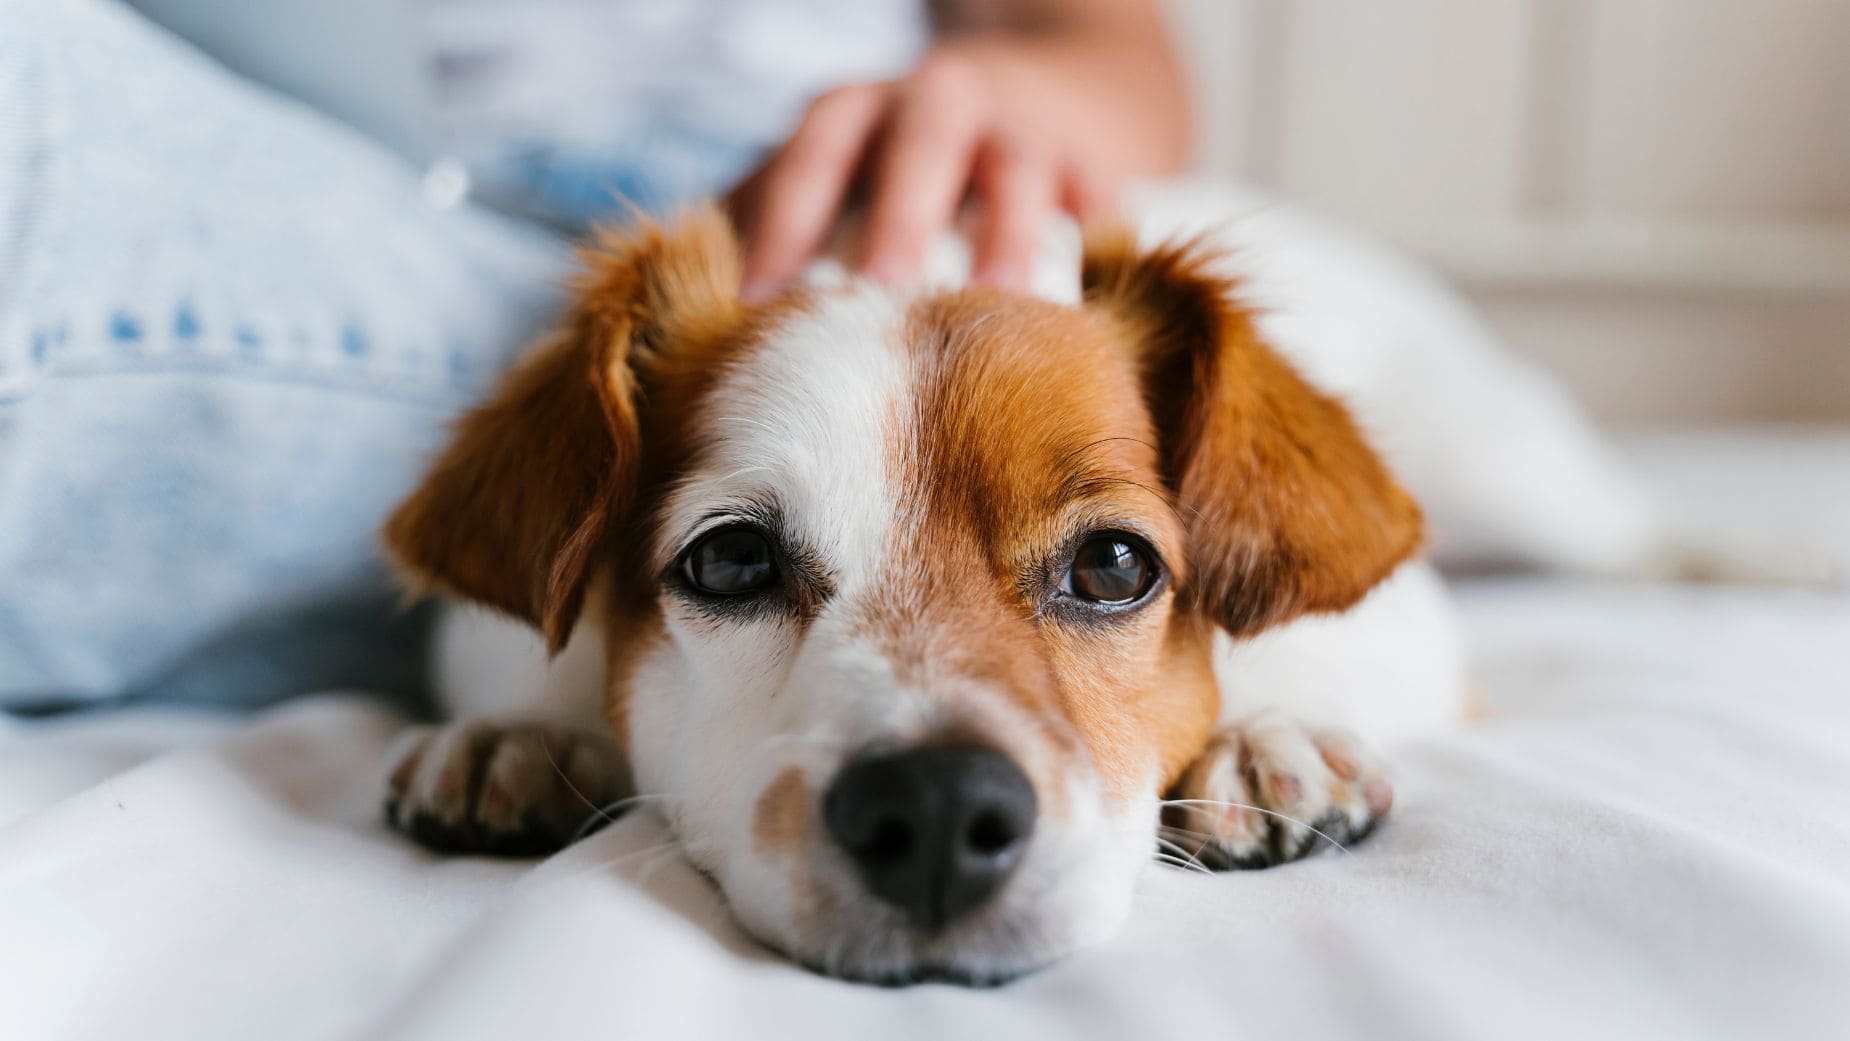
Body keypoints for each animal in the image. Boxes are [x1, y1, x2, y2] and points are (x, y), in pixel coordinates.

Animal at [371, 181, 1820, 983]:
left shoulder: (1403, 622)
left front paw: (1263, 737)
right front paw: (521, 736)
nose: (934, 812)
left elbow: (1295, 643)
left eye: (1114, 563)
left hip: (1513, 469)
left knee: (1641, 533)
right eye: (728, 558)